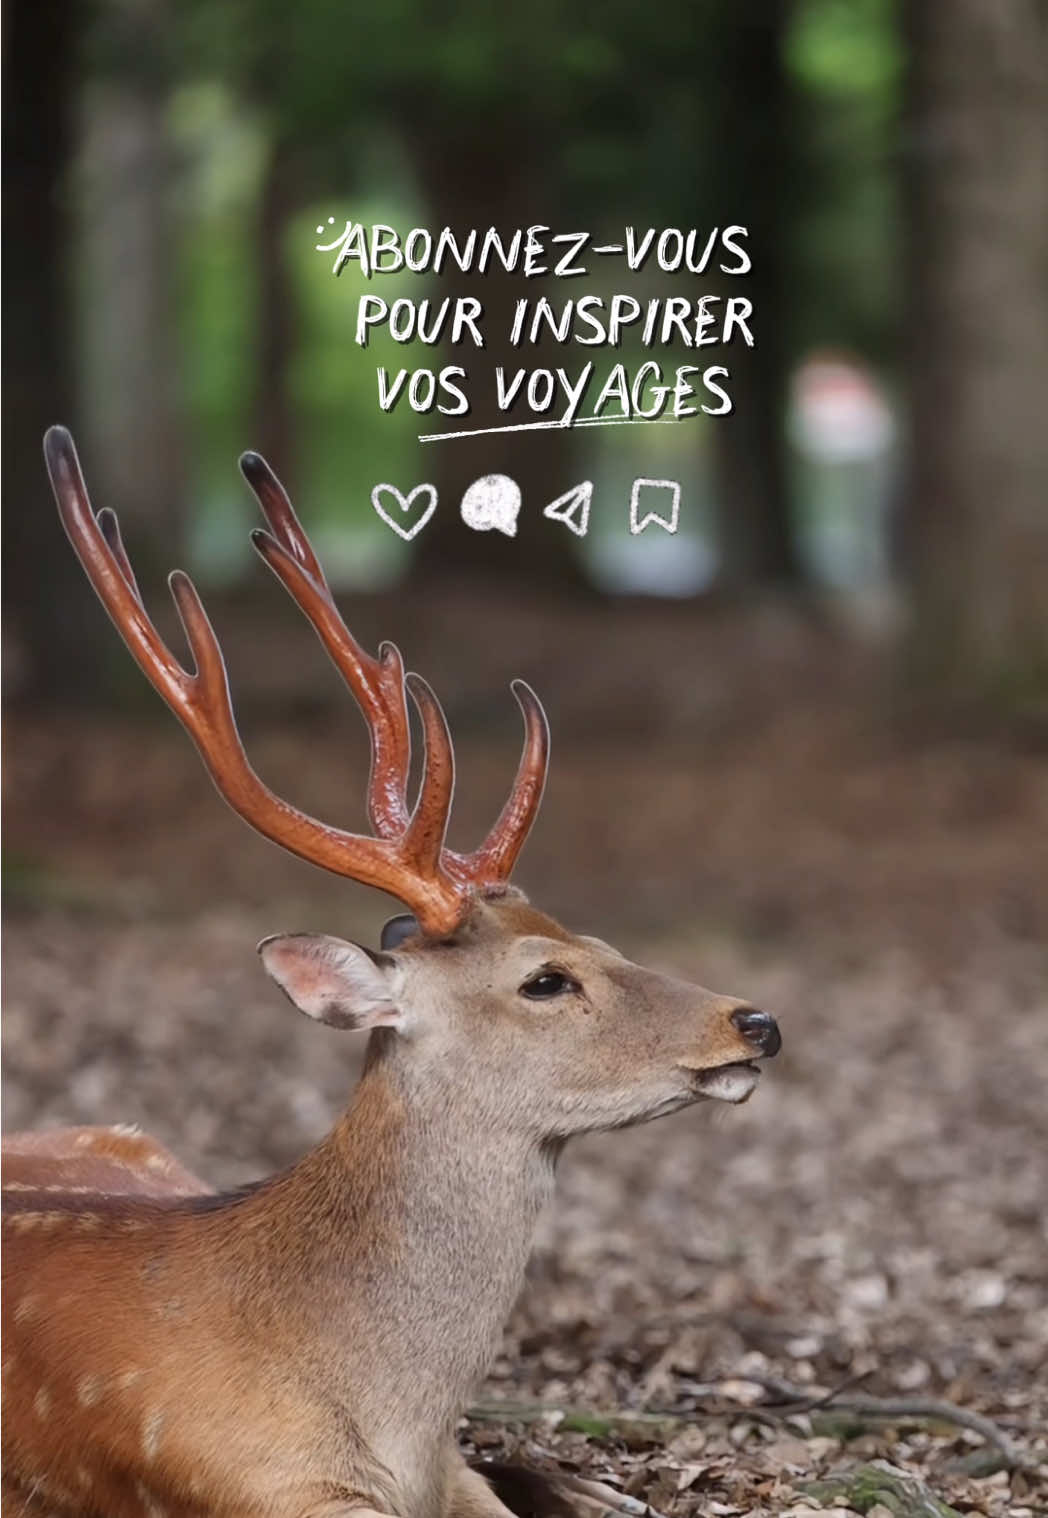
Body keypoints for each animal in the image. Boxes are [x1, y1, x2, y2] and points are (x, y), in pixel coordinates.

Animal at [2, 426, 782, 1518]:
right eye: (546, 980)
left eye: (608, 944)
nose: (754, 1022)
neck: (396, 1428)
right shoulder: (264, 1484)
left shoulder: (451, 1470)